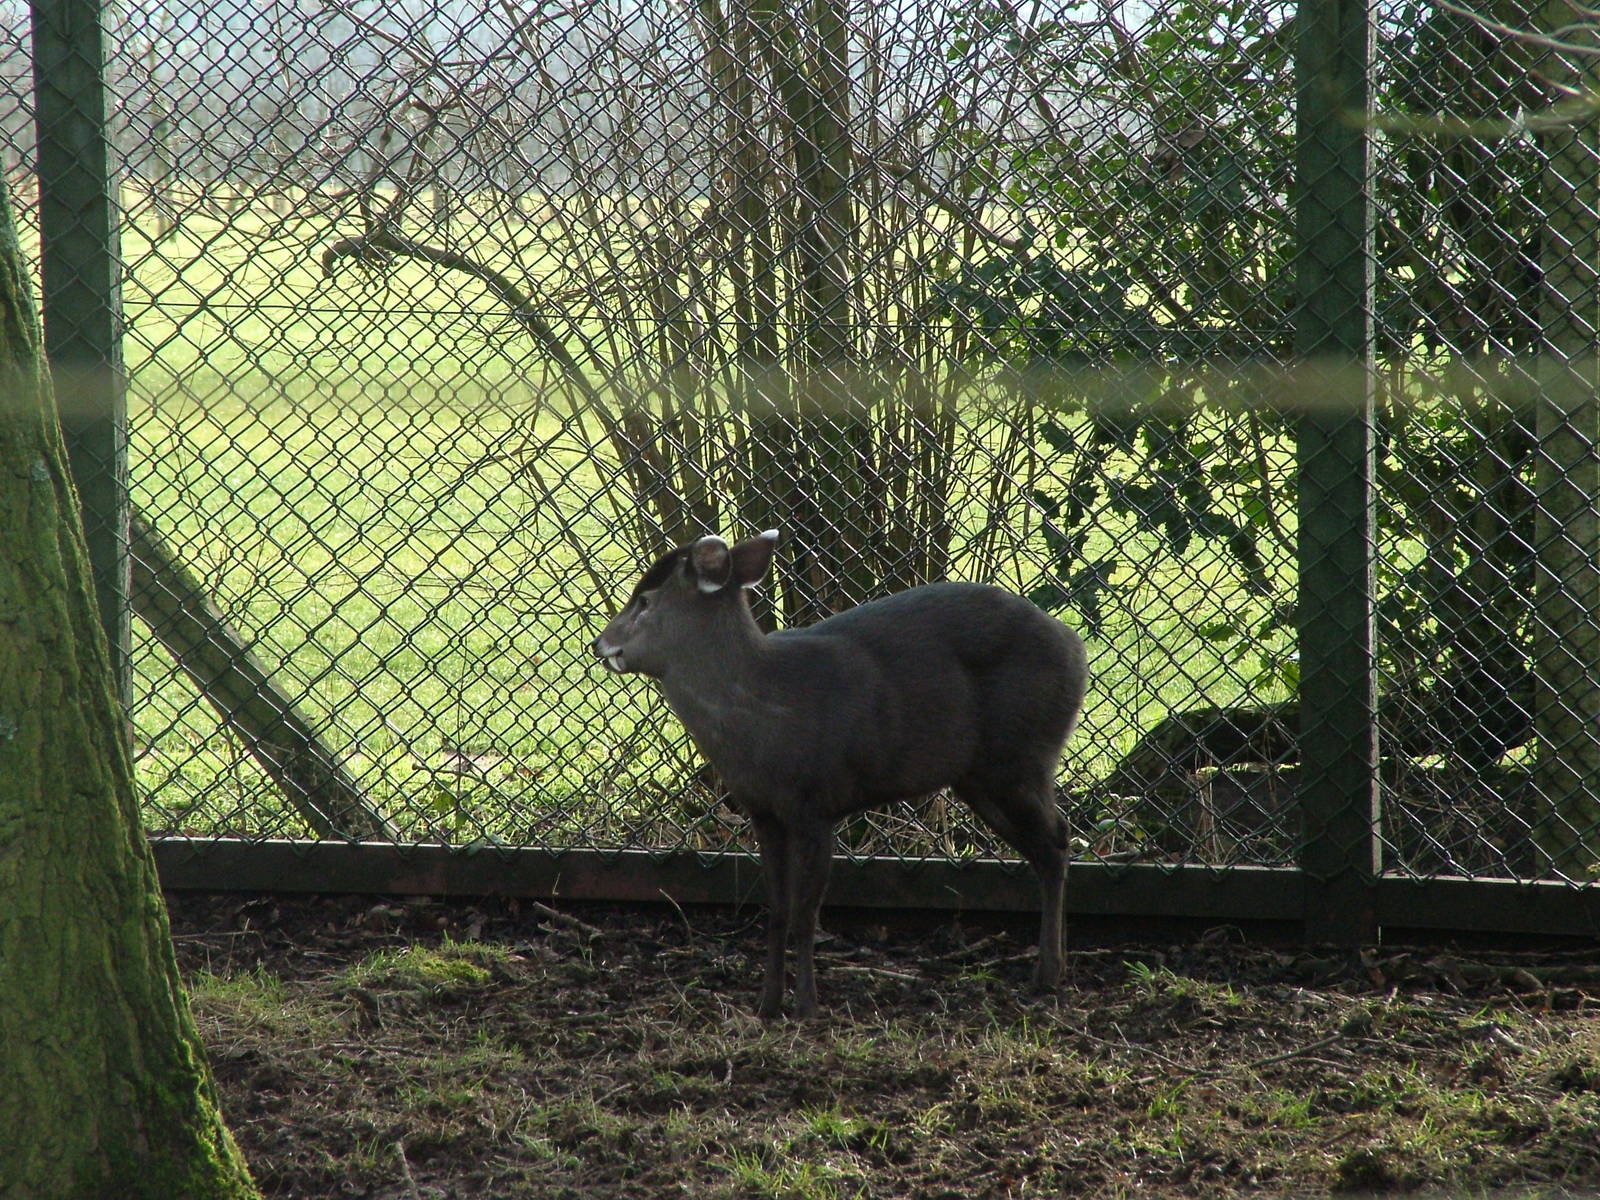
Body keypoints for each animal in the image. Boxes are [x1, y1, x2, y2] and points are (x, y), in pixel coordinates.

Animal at [591, 529, 1088, 1019]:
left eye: (645, 599)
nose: (600, 645)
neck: (763, 718)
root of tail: (1075, 646)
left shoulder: (816, 802)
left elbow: (806, 913)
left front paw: (807, 1006)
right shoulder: (763, 811)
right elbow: (776, 909)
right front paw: (767, 1003)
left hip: (1021, 755)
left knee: (1058, 839)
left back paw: (1047, 974)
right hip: (980, 775)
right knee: (1050, 845)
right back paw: (1057, 967)